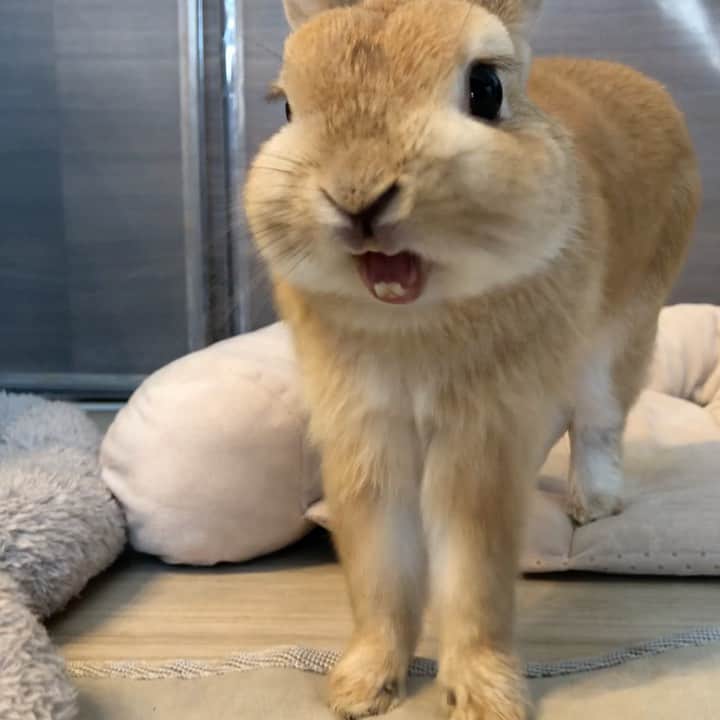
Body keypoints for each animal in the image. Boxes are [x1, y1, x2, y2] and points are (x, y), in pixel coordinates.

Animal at [244, 0, 701, 718]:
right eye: (287, 106)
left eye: (486, 89)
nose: (358, 196)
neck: (415, 317)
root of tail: (643, 84)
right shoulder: (366, 436)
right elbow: (381, 564)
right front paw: (360, 688)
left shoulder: (482, 434)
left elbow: (473, 564)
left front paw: (486, 697)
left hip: (625, 329)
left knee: (599, 421)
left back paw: (592, 504)